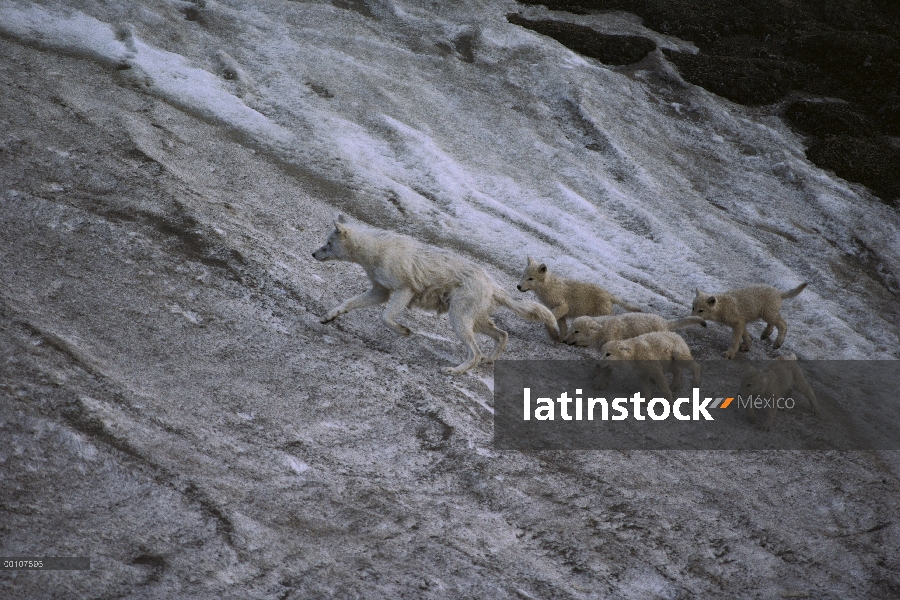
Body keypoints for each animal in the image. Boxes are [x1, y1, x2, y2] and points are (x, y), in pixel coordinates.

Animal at [312, 216, 560, 372]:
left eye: (328, 243)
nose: (313, 254)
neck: (375, 251)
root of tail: (492, 284)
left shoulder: (404, 291)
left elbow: (386, 318)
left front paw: (405, 331)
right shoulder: (380, 292)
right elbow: (347, 303)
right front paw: (328, 317)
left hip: (458, 320)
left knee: (476, 352)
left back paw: (455, 371)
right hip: (472, 321)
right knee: (502, 336)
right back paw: (489, 361)